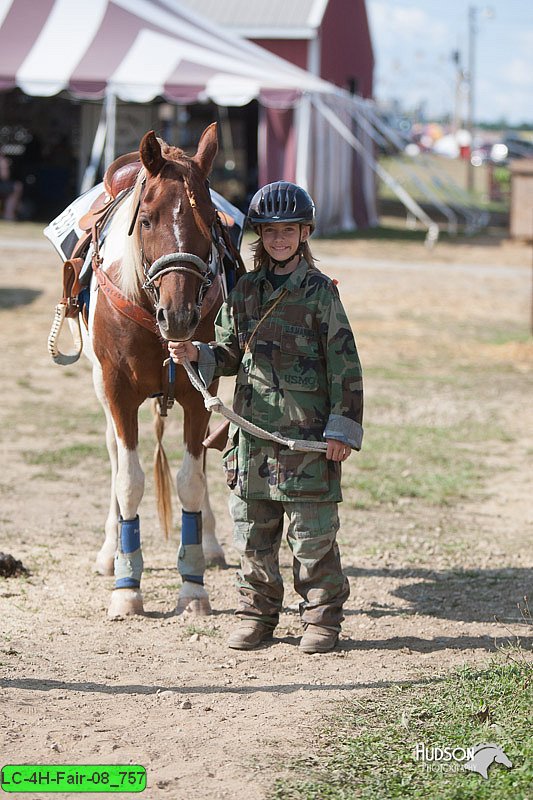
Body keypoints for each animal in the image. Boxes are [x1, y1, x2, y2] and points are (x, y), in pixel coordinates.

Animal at [82, 123, 237, 620]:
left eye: (209, 221)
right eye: (147, 220)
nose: (180, 315)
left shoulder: (200, 391)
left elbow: (191, 481)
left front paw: (193, 585)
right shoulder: (117, 391)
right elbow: (128, 482)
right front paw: (127, 588)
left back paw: (211, 543)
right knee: (115, 455)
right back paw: (109, 552)